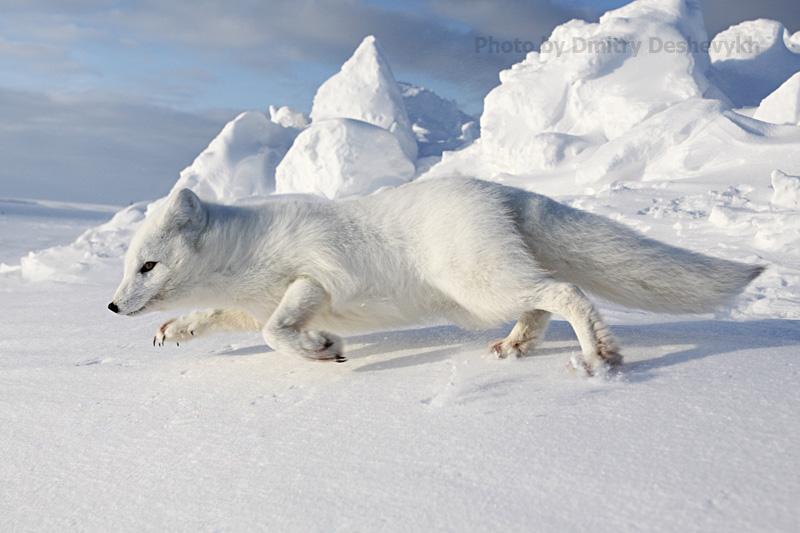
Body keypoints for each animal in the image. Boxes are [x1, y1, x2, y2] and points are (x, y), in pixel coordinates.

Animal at [108, 177, 764, 372]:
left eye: (148, 265)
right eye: (126, 267)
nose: (112, 307)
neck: (243, 258)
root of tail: (496, 190)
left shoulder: (316, 277)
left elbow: (276, 332)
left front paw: (324, 348)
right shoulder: (253, 303)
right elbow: (220, 318)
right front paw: (173, 331)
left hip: (479, 283)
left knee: (564, 291)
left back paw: (599, 357)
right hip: (488, 290)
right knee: (541, 302)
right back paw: (516, 346)